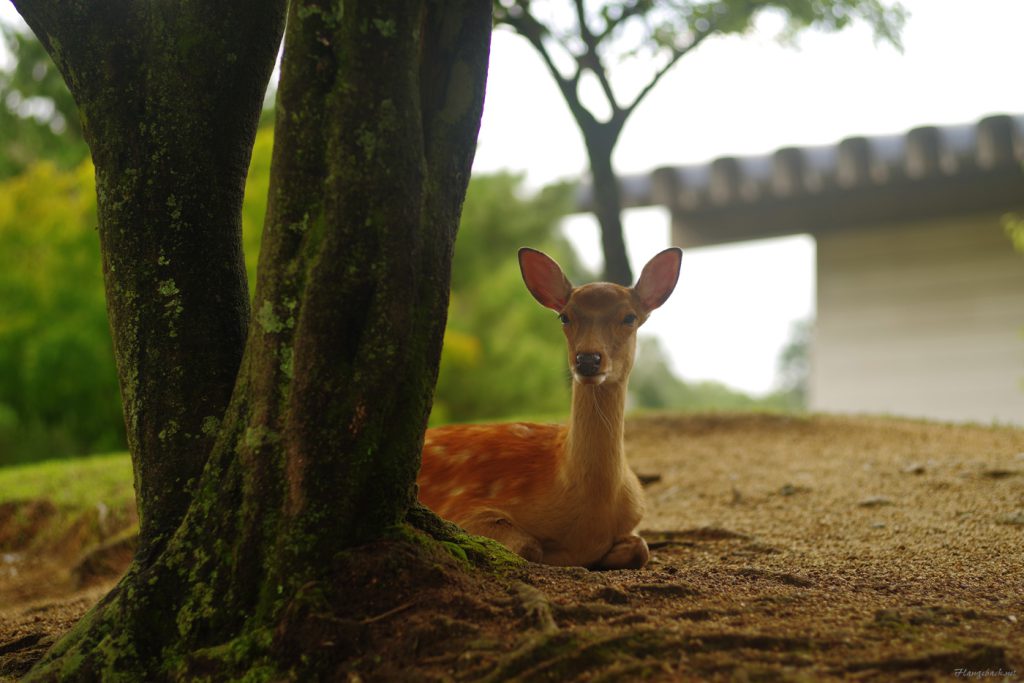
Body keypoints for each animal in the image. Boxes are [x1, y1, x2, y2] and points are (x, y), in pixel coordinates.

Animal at [415, 248, 679, 569]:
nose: (587, 359)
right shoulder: (462, 506)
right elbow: (528, 546)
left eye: (630, 317)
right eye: (564, 316)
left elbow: (641, 548)